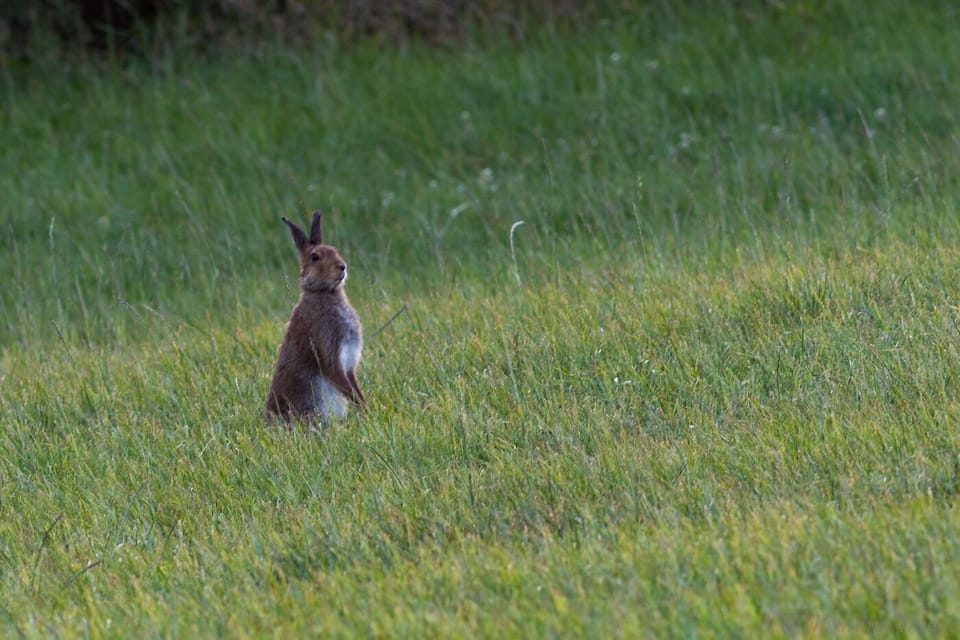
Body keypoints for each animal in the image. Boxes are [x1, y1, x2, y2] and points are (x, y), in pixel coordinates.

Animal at [265, 210, 366, 422]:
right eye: (315, 257)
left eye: (335, 250)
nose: (342, 266)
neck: (322, 292)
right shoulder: (330, 354)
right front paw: (367, 412)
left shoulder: (348, 364)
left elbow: (355, 388)